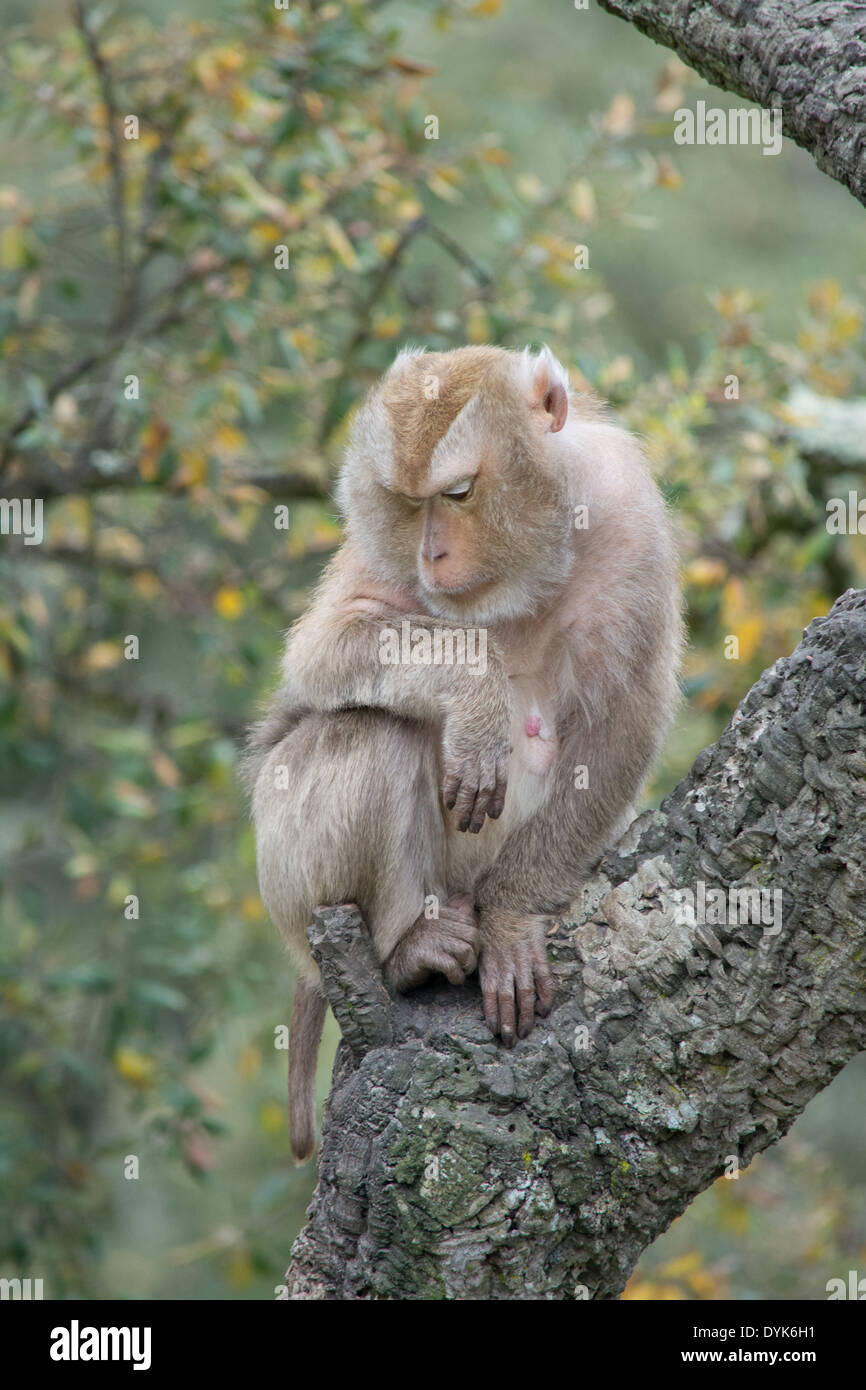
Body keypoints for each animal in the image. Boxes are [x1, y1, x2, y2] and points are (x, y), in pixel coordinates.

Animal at [246, 344, 683, 1162]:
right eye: (406, 503)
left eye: (457, 493)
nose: (432, 553)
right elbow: (328, 650)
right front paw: (476, 693)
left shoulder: (628, 509)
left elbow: (620, 726)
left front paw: (511, 917)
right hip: (289, 879)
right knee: (372, 732)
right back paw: (406, 953)